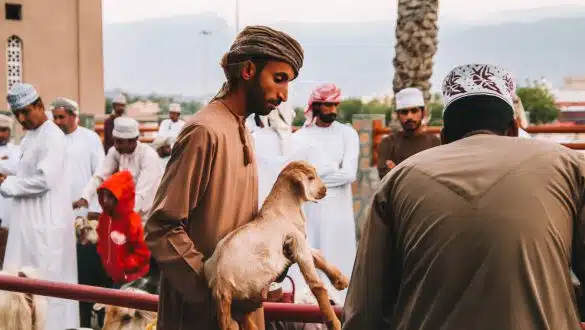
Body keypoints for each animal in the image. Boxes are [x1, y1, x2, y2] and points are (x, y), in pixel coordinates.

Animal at [204, 161, 346, 328]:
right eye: (310, 177)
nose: (324, 190)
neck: (282, 209)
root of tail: (221, 285)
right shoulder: (298, 242)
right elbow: (316, 284)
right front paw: (333, 322)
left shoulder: (298, 242)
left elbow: (318, 256)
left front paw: (341, 280)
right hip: (256, 282)